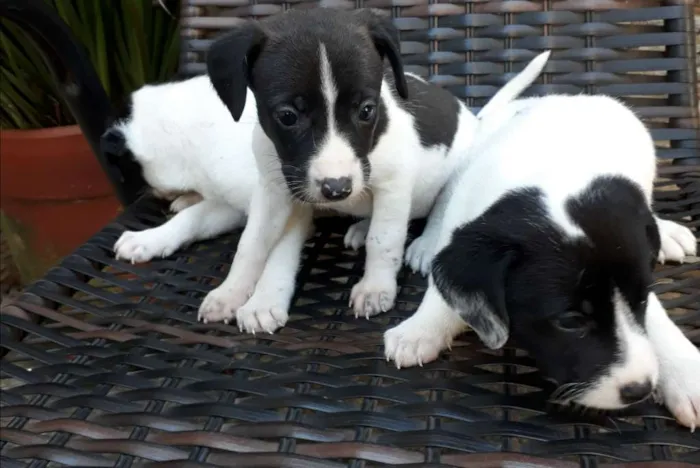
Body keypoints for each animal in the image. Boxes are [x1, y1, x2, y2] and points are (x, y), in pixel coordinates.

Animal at [198, 7, 552, 332]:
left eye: (367, 110)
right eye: (287, 116)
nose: (337, 189)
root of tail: (475, 119)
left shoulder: (393, 186)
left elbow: (384, 241)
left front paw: (375, 288)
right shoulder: (274, 190)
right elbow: (251, 242)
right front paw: (229, 293)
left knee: (441, 209)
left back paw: (425, 243)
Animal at [386, 93, 700, 430]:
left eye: (641, 298)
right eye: (570, 321)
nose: (639, 389)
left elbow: (655, 320)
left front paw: (685, 374)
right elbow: (441, 290)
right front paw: (420, 329)